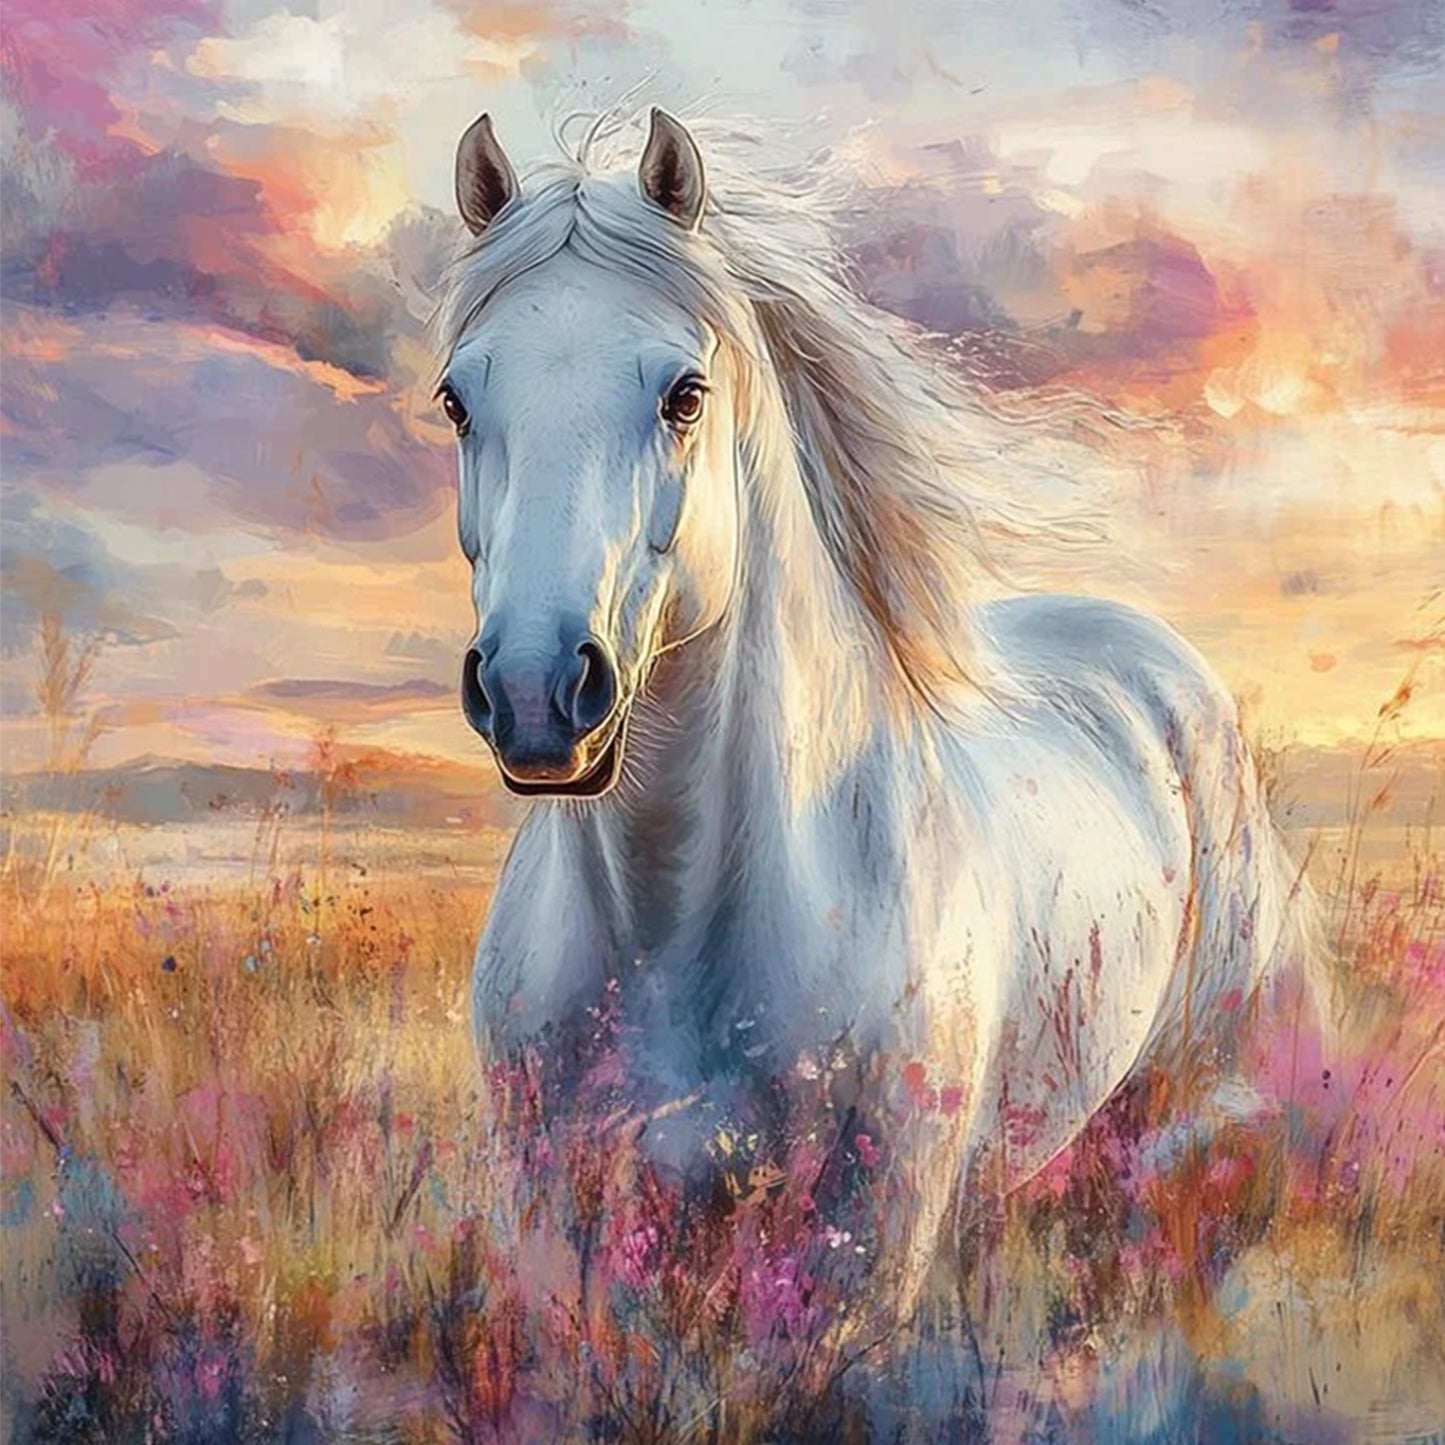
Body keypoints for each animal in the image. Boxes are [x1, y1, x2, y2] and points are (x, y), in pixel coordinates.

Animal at [433, 107, 1318, 1322]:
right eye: (456, 400)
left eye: (684, 395)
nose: (532, 690)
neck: (674, 937)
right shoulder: (563, 1241)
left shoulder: (860, 1260)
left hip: (1192, 1102)